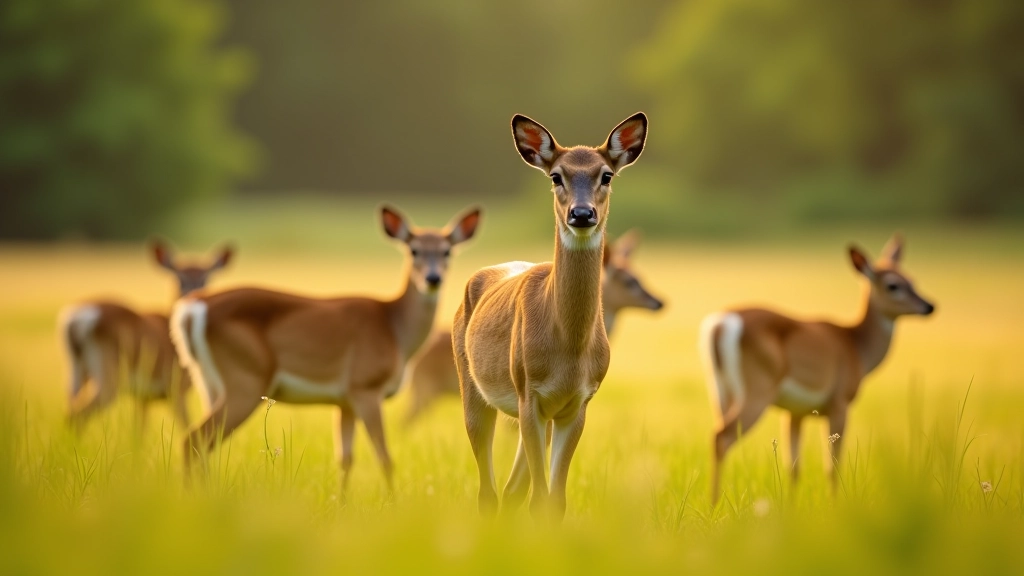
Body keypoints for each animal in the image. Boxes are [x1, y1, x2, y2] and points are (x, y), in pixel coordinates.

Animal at [59, 240, 234, 429]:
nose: (194, 294)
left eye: (206, 278)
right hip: (109, 373)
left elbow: (139, 429)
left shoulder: (143, 398)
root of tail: (76, 320)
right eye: (179, 278)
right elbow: (187, 425)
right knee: (79, 415)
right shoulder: (175, 389)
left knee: (70, 410)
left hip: (77, 372)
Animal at [170, 205, 480, 493]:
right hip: (245, 379)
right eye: (413, 250)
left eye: (447, 251)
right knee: (194, 438)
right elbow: (385, 457)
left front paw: (341, 502)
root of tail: (192, 309)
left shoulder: (344, 401)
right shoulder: (365, 387)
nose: (432, 279)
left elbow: (345, 458)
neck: (393, 328)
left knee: (203, 444)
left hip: (208, 382)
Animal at [453, 112, 647, 520]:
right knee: (487, 492)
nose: (582, 213)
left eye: (607, 175)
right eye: (556, 176)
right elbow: (538, 499)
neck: (568, 349)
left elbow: (554, 502)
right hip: (474, 386)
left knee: (509, 491)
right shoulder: (529, 393)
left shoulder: (578, 402)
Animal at [699, 234, 935, 502]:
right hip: (758, 389)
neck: (856, 346)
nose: (929, 306)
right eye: (893, 285)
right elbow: (832, 465)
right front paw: (835, 504)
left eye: (912, 279)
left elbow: (794, 467)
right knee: (721, 437)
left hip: (720, 390)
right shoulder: (839, 402)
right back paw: (713, 503)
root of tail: (720, 324)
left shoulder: (795, 413)